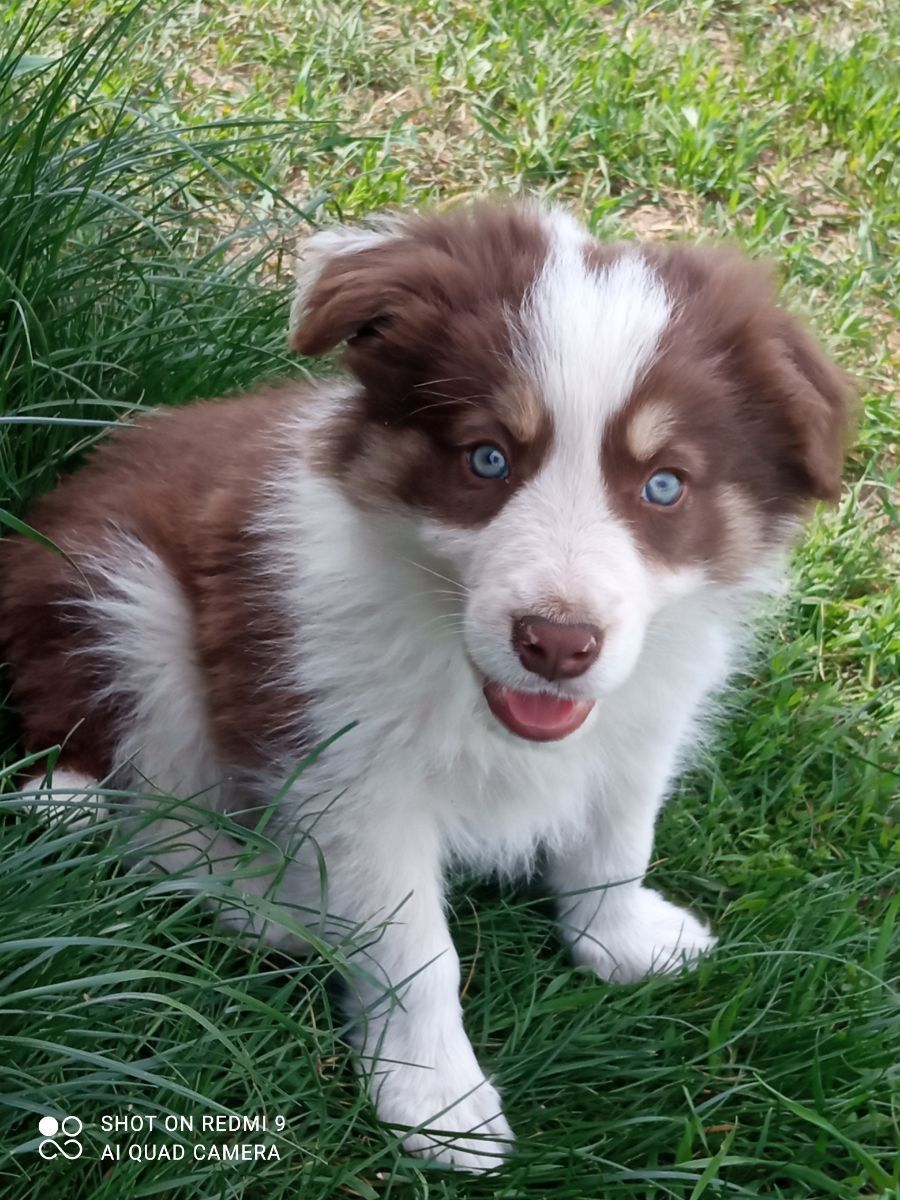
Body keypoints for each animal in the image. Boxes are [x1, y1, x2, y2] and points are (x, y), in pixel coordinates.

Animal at [0, 201, 854, 1166]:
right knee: (152, 822)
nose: (557, 645)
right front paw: (437, 1098)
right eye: (486, 459)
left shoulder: (643, 720)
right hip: (128, 614)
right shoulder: (354, 778)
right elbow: (415, 951)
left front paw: (622, 938)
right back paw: (284, 910)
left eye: (665, 485)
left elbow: (615, 841)